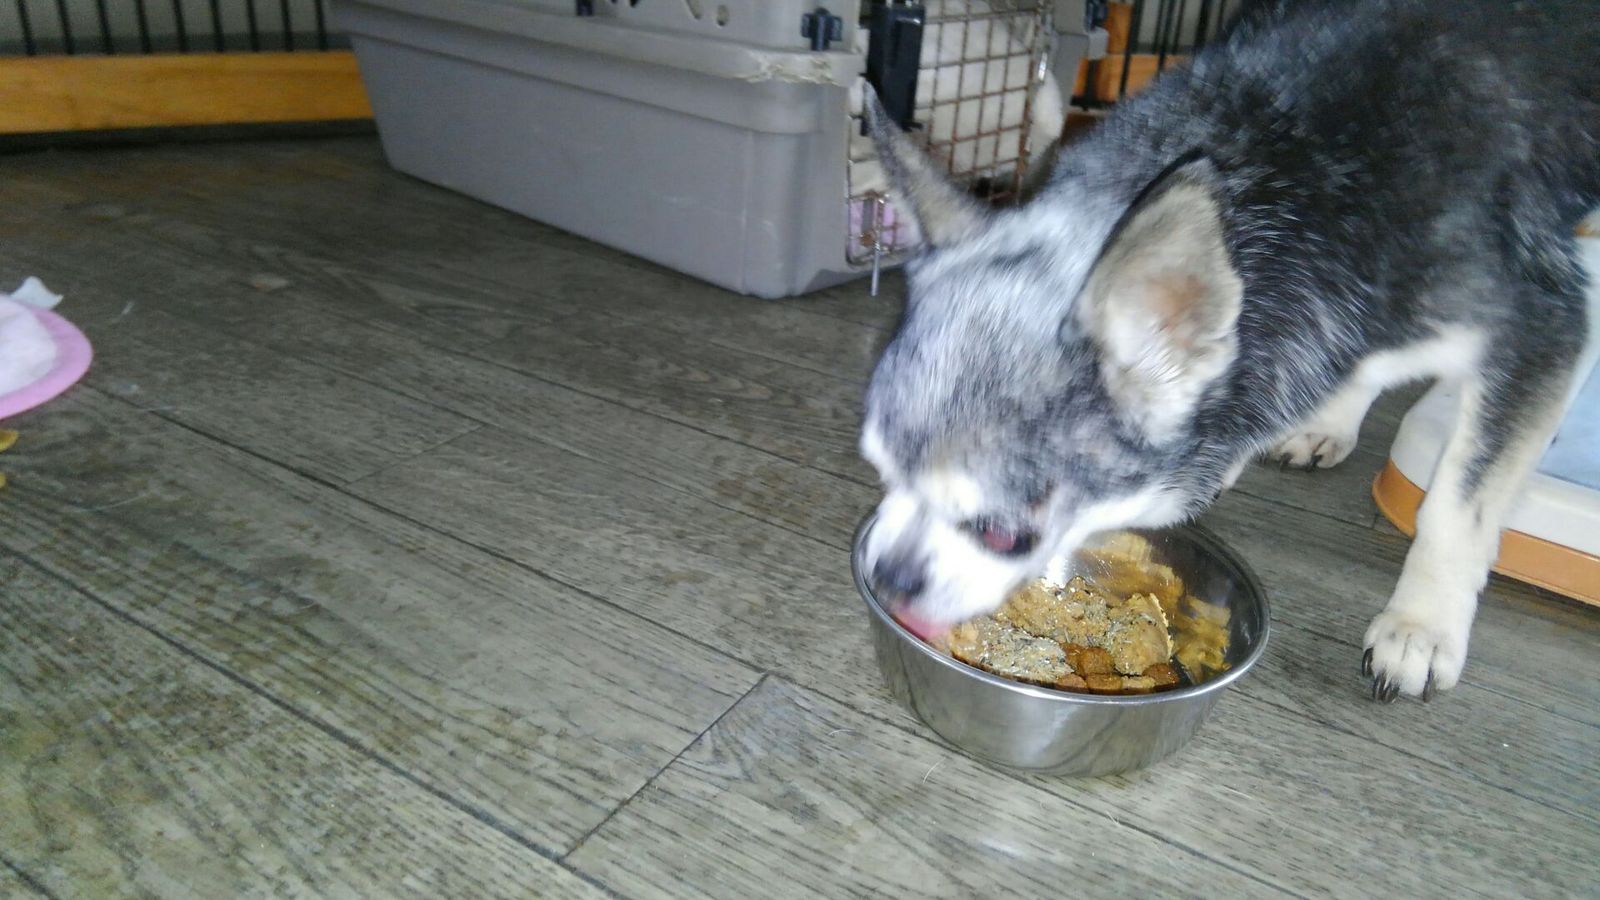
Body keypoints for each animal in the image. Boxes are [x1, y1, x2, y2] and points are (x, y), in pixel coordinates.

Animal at [858, 0, 1600, 702]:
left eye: (1004, 535)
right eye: (881, 471)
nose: (887, 575)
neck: (1285, 177)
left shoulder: (1545, 324)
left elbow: (1457, 502)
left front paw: (1422, 626)